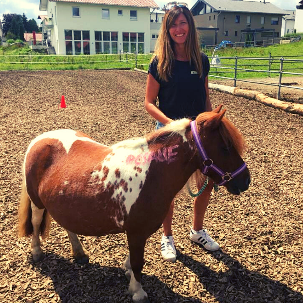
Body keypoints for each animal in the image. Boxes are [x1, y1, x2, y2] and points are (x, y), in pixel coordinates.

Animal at [18, 105, 252, 303]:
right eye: (225, 146)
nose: (245, 180)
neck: (152, 172)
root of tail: (39, 141)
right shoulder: (136, 232)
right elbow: (139, 262)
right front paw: (138, 291)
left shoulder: (137, 232)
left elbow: (134, 259)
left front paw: (127, 271)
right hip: (37, 202)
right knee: (37, 223)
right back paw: (37, 252)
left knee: (68, 226)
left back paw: (79, 253)